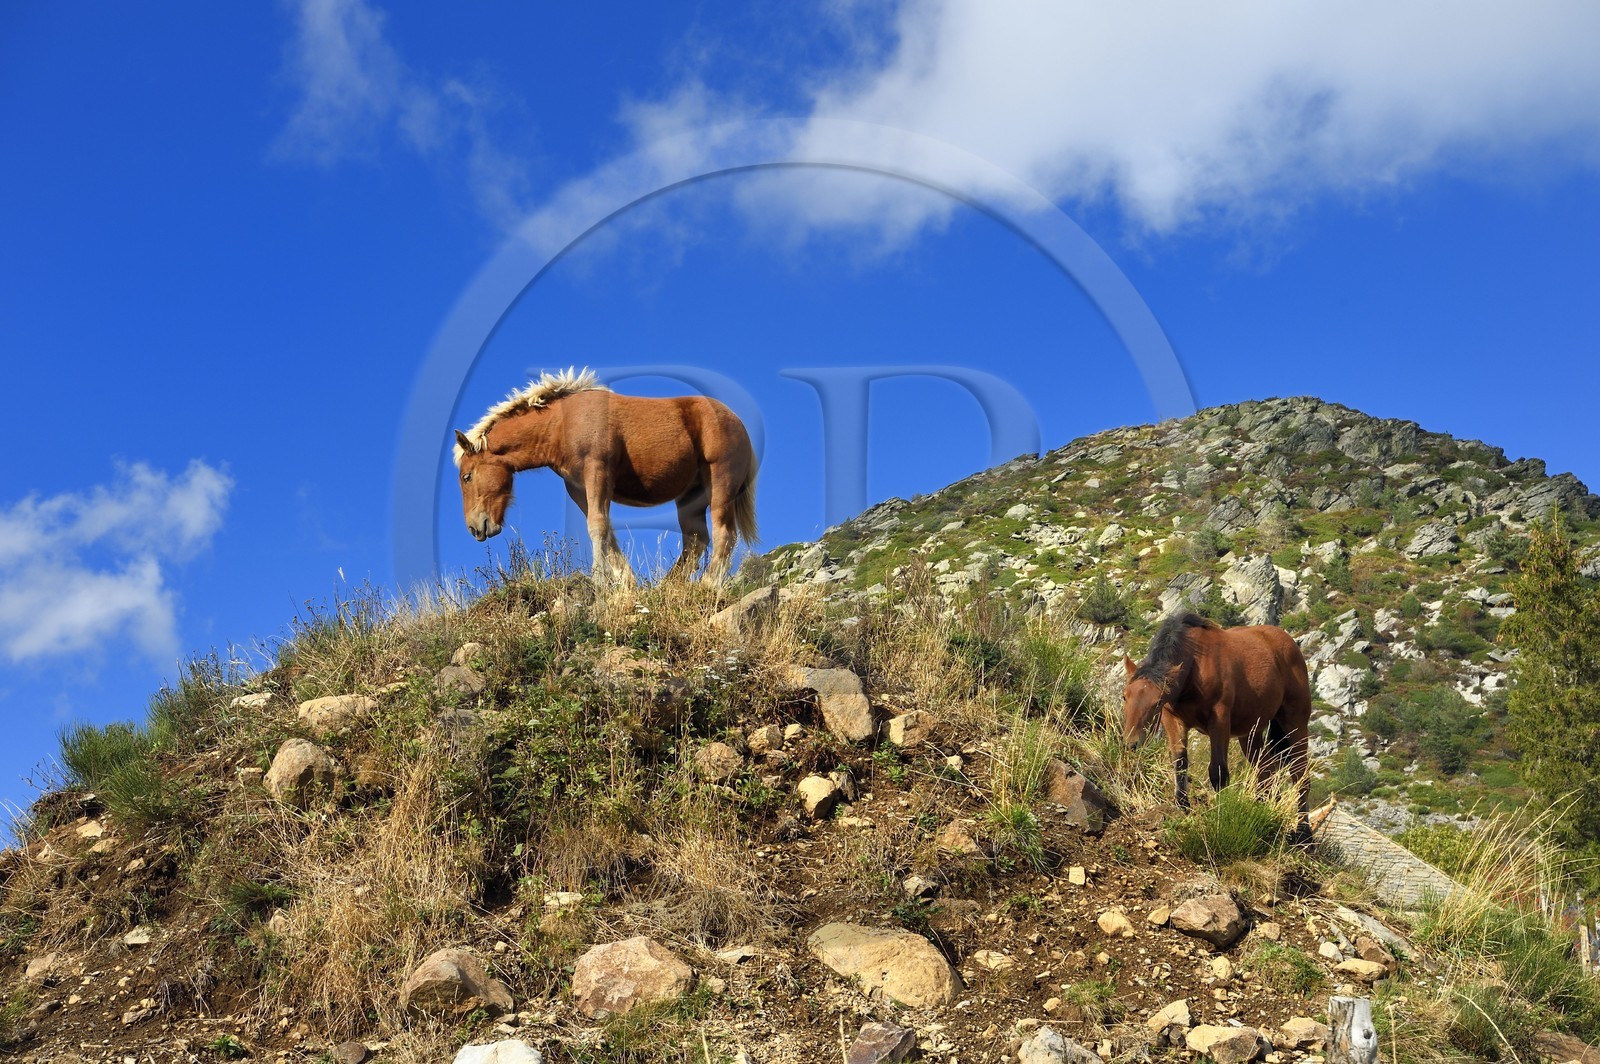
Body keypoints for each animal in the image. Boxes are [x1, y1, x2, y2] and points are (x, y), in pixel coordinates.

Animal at [453, 368, 758, 584]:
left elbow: (597, 526)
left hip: (720, 483)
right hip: (690, 496)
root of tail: (740, 425)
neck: (562, 423)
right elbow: (605, 529)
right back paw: (669, 588)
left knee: (724, 534)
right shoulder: (579, 488)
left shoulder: (596, 472)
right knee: (696, 540)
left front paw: (600, 581)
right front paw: (627, 585)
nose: (474, 527)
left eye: (467, 477)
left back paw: (708, 586)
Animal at [1122, 611, 1312, 825]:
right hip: (1251, 732)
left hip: (1295, 722)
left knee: (1300, 776)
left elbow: (1218, 771)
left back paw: (1303, 831)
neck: (1195, 666)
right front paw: (1182, 807)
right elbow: (1180, 762)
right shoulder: (1173, 720)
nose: (1131, 743)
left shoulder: (1219, 719)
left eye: (1156, 703)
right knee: (1266, 770)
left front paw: (1222, 812)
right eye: (1125, 696)